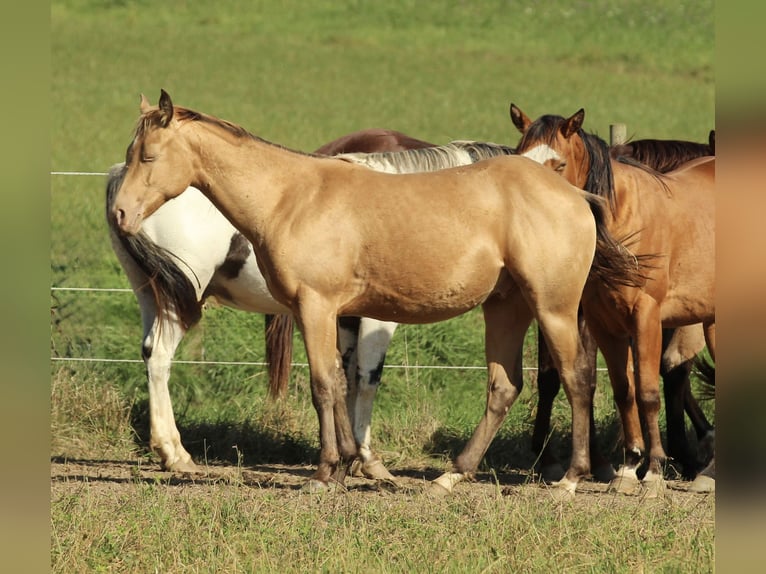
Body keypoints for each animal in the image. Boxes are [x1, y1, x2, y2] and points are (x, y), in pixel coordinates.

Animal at [106, 135, 514, 477]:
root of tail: (118, 176)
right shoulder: (374, 319)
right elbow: (365, 380)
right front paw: (368, 462)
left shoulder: (342, 315)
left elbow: (341, 378)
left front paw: (350, 458)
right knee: (160, 358)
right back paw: (175, 453)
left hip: (151, 296)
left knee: (149, 353)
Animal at [510, 103, 715, 496]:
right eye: (519, 158)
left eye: (559, 164)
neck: (623, 219)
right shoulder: (604, 323)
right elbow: (623, 390)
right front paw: (628, 467)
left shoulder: (647, 318)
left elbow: (648, 391)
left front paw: (654, 471)